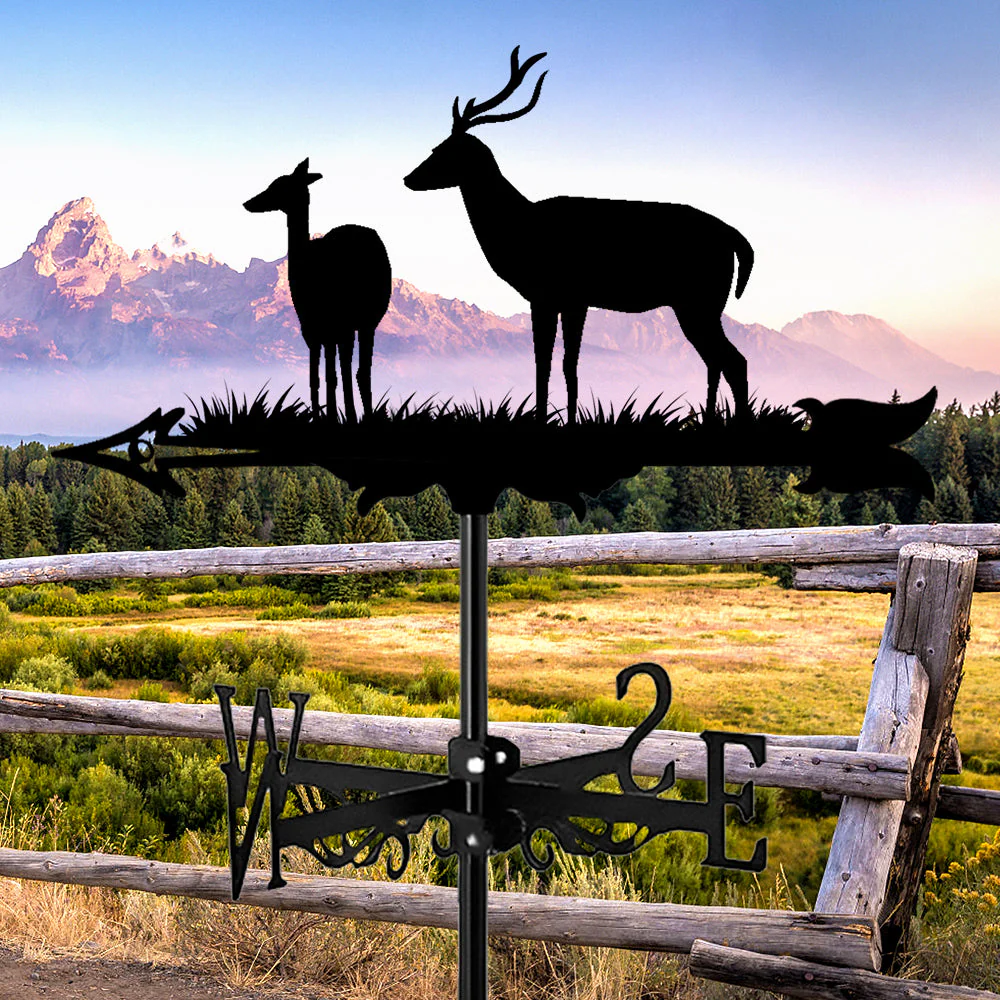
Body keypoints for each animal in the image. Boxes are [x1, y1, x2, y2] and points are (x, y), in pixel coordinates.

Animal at [244, 159, 392, 422]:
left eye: (278, 185)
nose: (248, 202)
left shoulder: (326, 327)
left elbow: (328, 375)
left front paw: (334, 415)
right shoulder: (315, 330)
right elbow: (320, 376)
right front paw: (325, 415)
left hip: (361, 319)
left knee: (356, 370)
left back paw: (357, 414)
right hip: (358, 322)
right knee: (355, 369)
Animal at [404, 48, 754, 423]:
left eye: (442, 149)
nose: (409, 178)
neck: (516, 228)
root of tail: (736, 239)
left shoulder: (552, 295)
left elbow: (553, 364)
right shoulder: (566, 300)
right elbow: (560, 364)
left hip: (700, 301)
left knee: (734, 361)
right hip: (698, 305)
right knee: (717, 361)